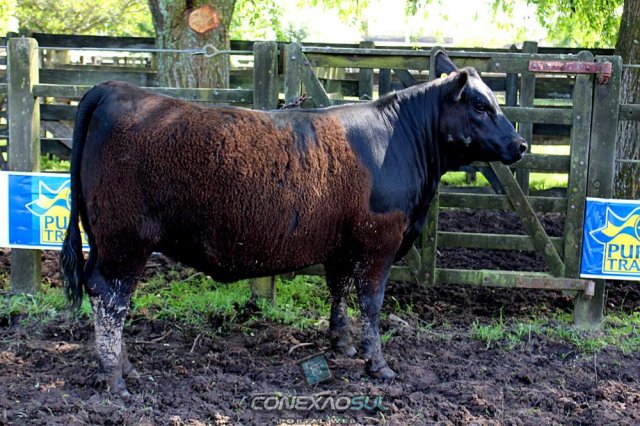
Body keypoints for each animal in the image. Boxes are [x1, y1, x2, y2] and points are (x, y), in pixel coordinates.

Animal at [61, 52, 527, 394]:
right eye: (482, 105)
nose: (520, 144)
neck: (397, 139)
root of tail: (113, 89)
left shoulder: (342, 245)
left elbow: (338, 291)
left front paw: (341, 344)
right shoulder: (378, 244)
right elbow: (372, 303)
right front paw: (378, 364)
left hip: (104, 239)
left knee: (102, 293)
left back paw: (122, 367)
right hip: (126, 241)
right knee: (111, 298)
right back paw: (115, 378)